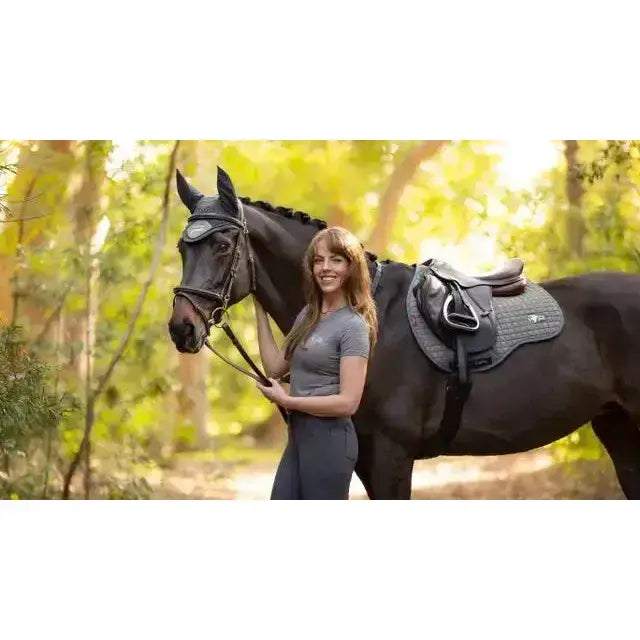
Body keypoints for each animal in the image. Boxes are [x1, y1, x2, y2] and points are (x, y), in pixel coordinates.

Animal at [168, 167, 640, 499]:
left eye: (222, 246)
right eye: (182, 247)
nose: (181, 327)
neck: (371, 313)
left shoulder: (391, 456)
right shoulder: (367, 457)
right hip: (618, 428)